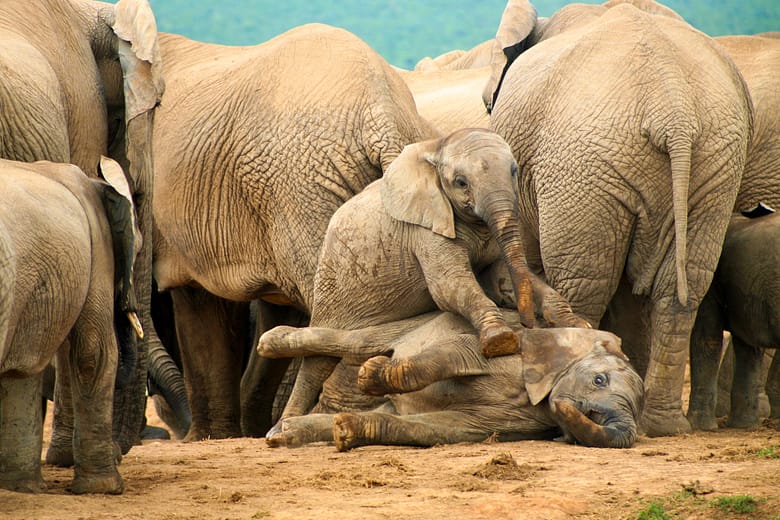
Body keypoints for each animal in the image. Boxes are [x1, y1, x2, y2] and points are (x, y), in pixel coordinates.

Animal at [0, 157, 138, 494]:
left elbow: (23, 369)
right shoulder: (99, 245)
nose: (119, 453)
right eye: (140, 247)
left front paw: (23, 489)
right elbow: (94, 352)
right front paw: (106, 489)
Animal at [258, 310, 644, 450]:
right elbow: (457, 352)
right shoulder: (513, 344)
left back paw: (283, 434)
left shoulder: (522, 420)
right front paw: (370, 374)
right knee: (358, 341)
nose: (569, 406)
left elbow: (447, 428)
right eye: (599, 380)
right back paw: (270, 341)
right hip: (419, 321)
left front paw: (346, 432)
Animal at [485, 0, 753, 436]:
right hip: (713, 164)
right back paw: (660, 426)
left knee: (583, 283)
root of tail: (674, 111)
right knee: (682, 288)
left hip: (582, 165)